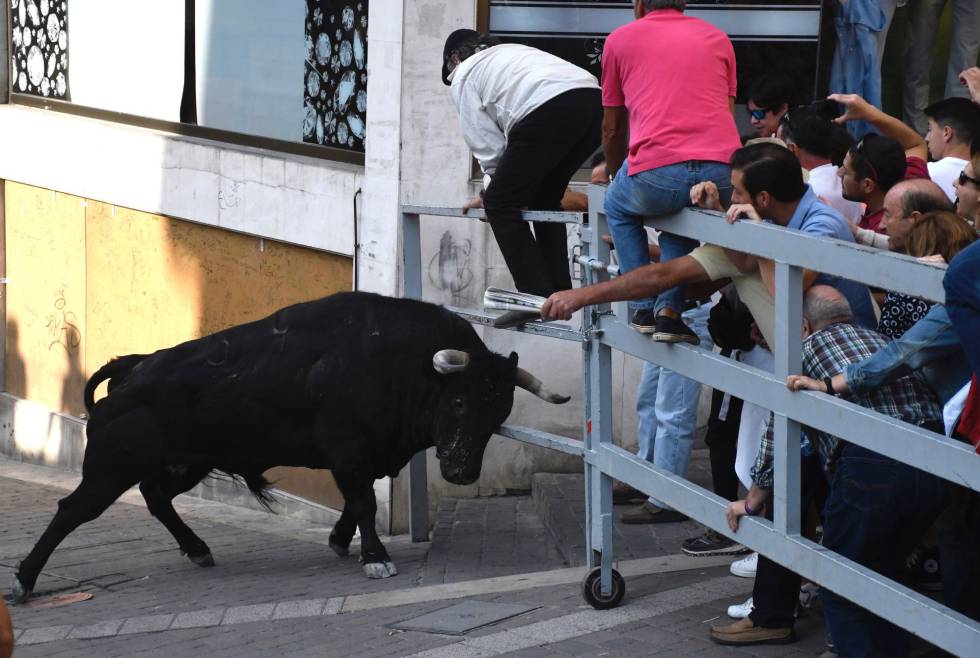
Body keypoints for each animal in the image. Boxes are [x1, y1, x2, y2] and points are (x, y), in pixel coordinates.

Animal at [11, 292, 572, 600]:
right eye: (458, 403)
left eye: (499, 414)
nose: (460, 473)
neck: (397, 363)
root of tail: (134, 367)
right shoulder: (349, 452)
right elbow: (363, 502)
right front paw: (374, 556)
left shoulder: (367, 456)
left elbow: (356, 502)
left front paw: (341, 542)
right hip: (111, 468)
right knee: (72, 511)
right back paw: (24, 580)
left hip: (188, 461)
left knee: (156, 497)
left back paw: (198, 549)